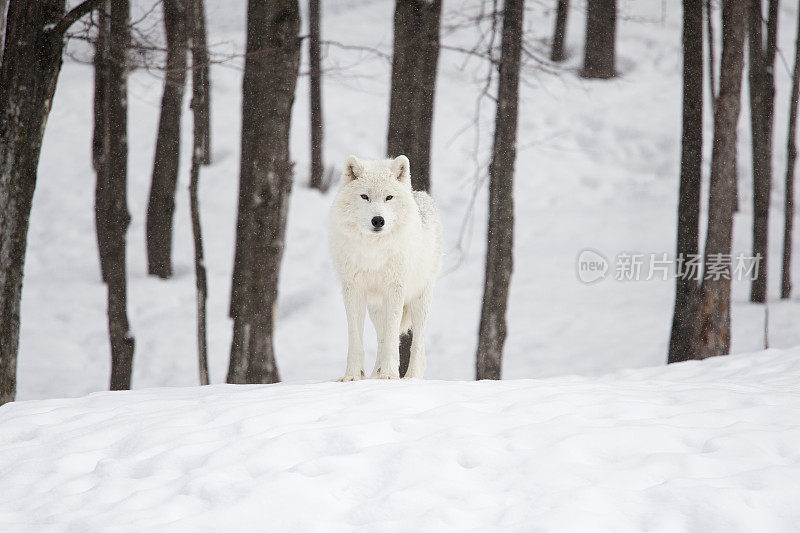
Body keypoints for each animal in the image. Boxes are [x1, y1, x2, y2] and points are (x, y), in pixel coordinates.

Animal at [326, 154, 444, 378]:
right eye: (364, 196)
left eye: (389, 197)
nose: (378, 220)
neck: (373, 252)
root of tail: (422, 195)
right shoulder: (353, 289)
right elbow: (356, 338)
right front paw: (353, 376)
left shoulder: (395, 288)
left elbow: (392, 338)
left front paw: (389, 375)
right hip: (376, 308)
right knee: (381, 339)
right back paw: (375, 375)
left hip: (420, 299)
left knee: (417, 342)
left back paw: (411, 377)